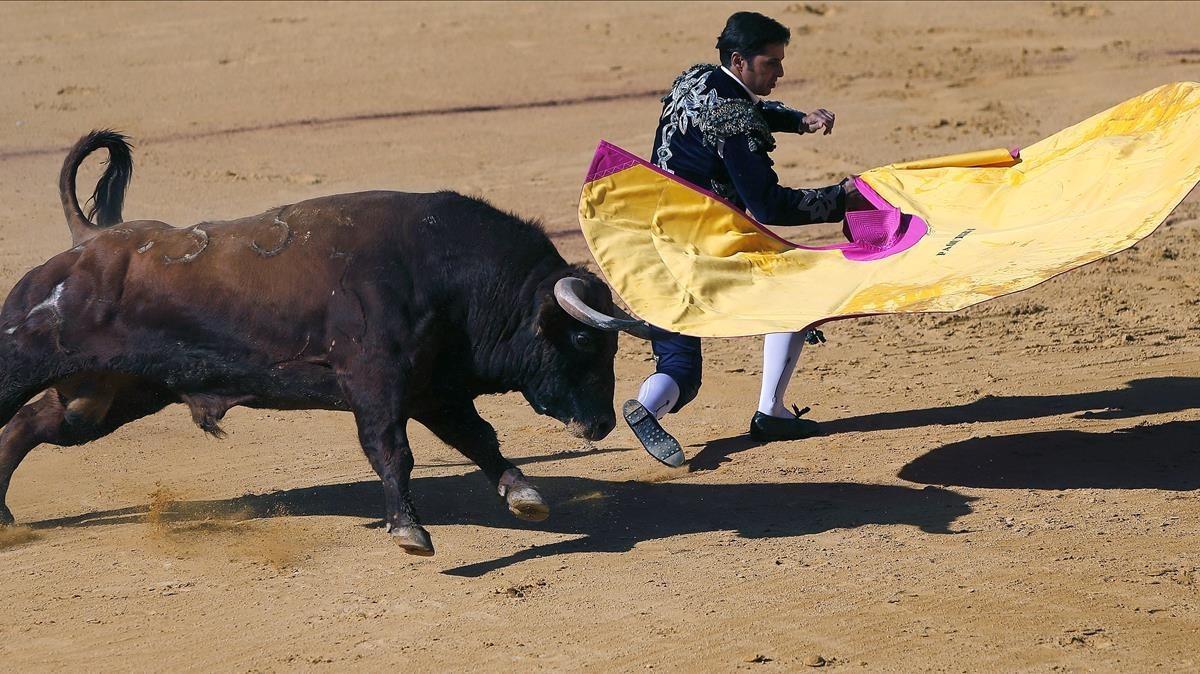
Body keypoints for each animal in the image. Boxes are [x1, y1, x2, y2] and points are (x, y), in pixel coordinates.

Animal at [0, 130, 652, 551]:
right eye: (584, 341)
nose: (600, 424)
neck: (449, 273)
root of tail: (88, 243)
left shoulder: (434, 392)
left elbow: (479, 440)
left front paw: (524, 496)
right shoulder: (376, 384)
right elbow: (392, 450)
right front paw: (409, 531)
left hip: (103, 398)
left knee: (28, 427)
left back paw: (6, 518)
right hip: (25, 361)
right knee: (14, 417)